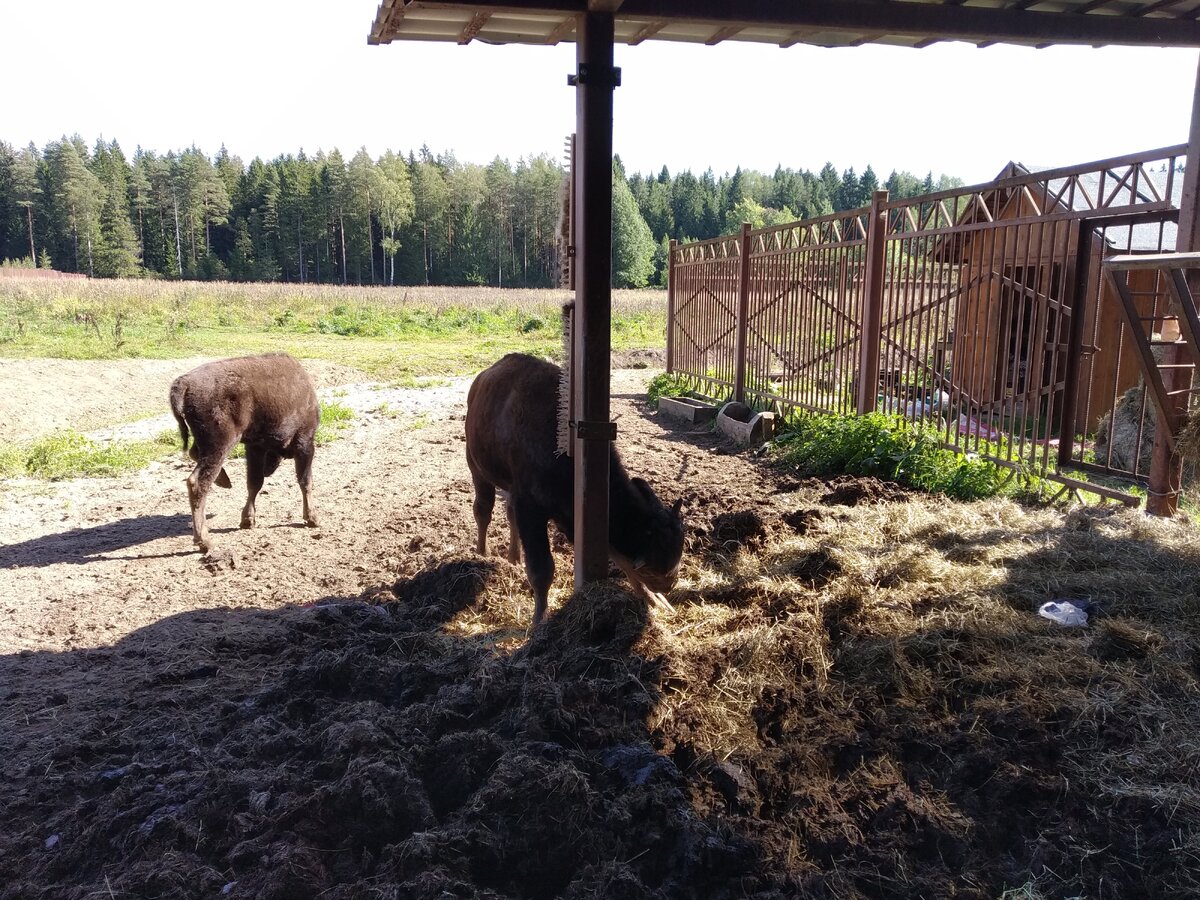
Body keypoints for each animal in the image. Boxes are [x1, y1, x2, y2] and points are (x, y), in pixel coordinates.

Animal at [169, 355, 321, 554]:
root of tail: (183, 384)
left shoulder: (255, 448)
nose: (269, 469)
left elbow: (254, 483)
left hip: (208, 443)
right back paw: (205, 542)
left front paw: (247, 520)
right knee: (198, 482)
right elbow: (305, 481)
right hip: (220, 445)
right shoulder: (305, 442)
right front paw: (313, 518)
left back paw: (224, 481)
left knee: (195, 454)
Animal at [463, 352, 686, 628]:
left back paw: (513, 559)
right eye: (656, 568)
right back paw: (482, 554)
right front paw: (540, 620)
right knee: (483, 510)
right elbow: (541, 569)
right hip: (476, 467)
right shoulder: (532, 509)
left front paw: (656, 601)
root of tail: (481, 379)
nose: (669, 584)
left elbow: (616, 556)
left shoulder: (570, 516)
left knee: (508, 515)